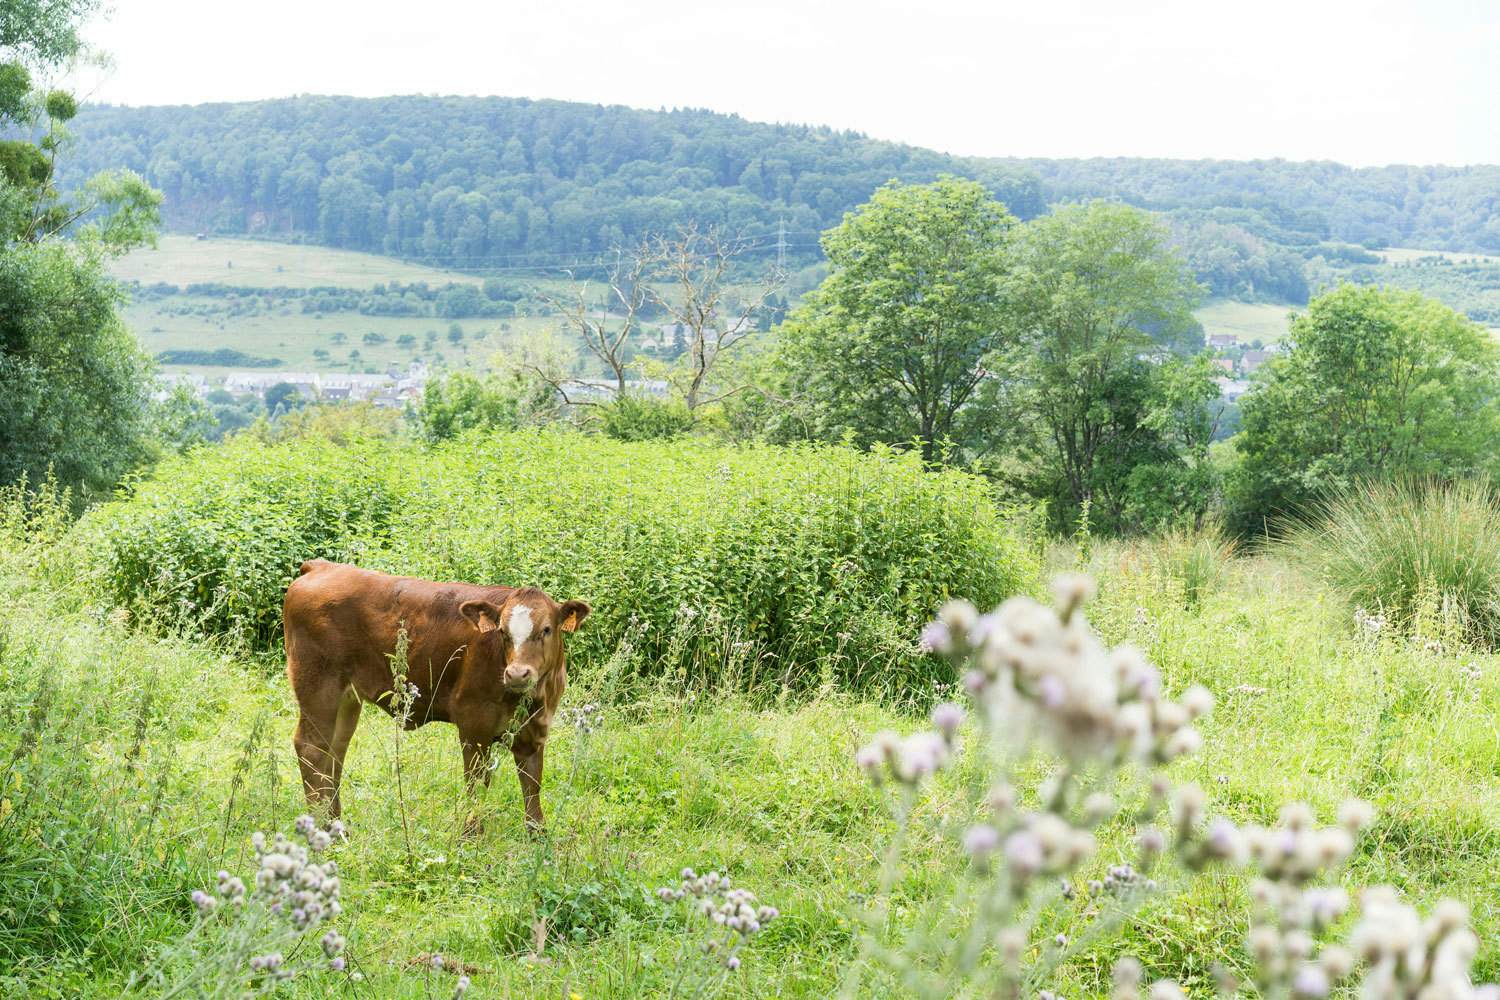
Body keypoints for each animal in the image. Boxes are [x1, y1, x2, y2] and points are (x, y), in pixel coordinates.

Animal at [283, 559, 590, 831]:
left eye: (546, 629)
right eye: (502, 632)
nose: (516, 674)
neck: (533, 698)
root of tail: (321, 567)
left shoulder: (535, 730)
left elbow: (532, 783)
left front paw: (537, 835)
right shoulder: (474, 723)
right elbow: (476, 782)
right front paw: (472, 833)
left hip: (347, 697)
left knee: (335, 748)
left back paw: (335, 824)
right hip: (318, 686)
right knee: (311, 748)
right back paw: (321, 825)